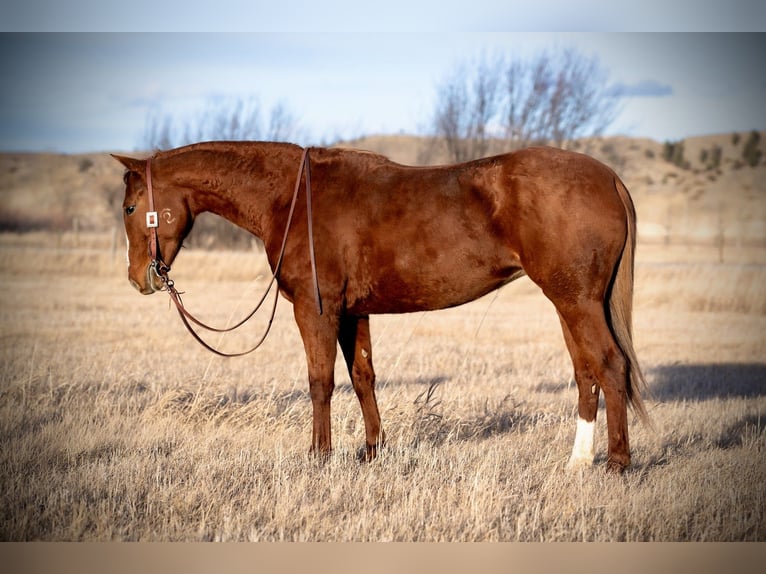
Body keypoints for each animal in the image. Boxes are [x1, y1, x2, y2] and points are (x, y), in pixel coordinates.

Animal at [113, 141, 649, 473]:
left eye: (129, 206)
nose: (140, 279)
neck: (292, 198)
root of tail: (609, 179)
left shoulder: (316, 310)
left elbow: (321, 382)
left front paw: (319, 456)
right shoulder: (353, 313)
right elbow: (363, 377)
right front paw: (372, 451)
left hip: (577, 301)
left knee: (610, 366)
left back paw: (616, 463)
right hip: (570, 303)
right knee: (586, 373)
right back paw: (577, 461)